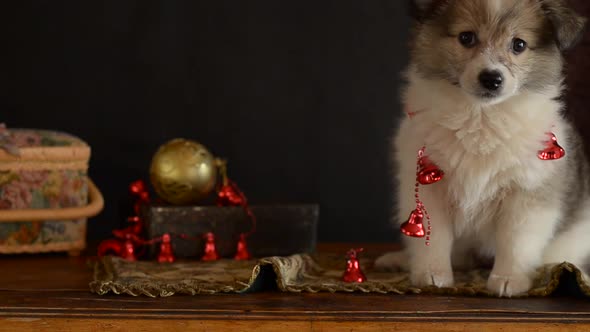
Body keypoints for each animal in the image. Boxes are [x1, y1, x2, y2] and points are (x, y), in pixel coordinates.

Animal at [376, 0, 588, 296]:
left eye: (519, 44)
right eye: (466, 37)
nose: (491, 79)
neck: (481, 117)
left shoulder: (527, 193)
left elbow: (515, 242)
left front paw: (509, 279)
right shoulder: (427, 187)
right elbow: (433, 237)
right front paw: (432, 275)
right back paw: (399, 260)